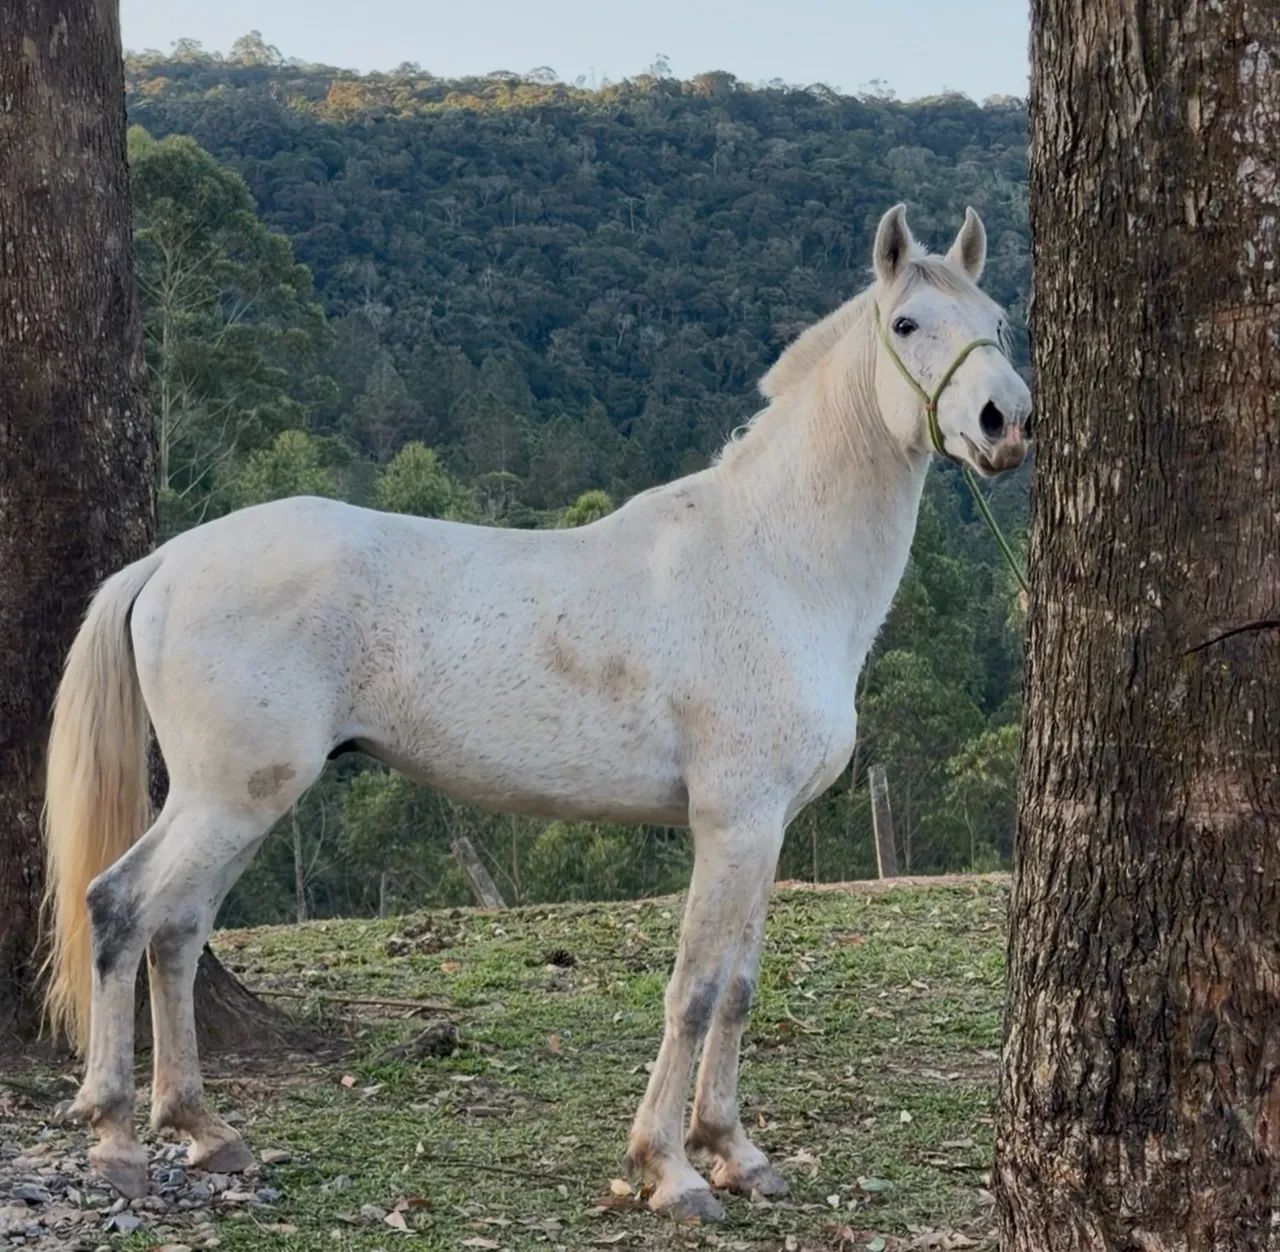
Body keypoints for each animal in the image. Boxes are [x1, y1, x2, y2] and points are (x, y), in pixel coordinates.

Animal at [42, 204, 1030, 1219]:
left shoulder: (768, 830)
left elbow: (741, 987)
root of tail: (169, 559)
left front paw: (736, 1152)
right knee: (121, 909)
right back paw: (118, 1140)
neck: (773, 561)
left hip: (236, 803)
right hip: (228, 797)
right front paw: (670, 1170)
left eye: (997, 317)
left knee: (176, 930)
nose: (1005, 422)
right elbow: (695, 991)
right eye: (907, 324)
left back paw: (204, 1132)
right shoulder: (732, 823)